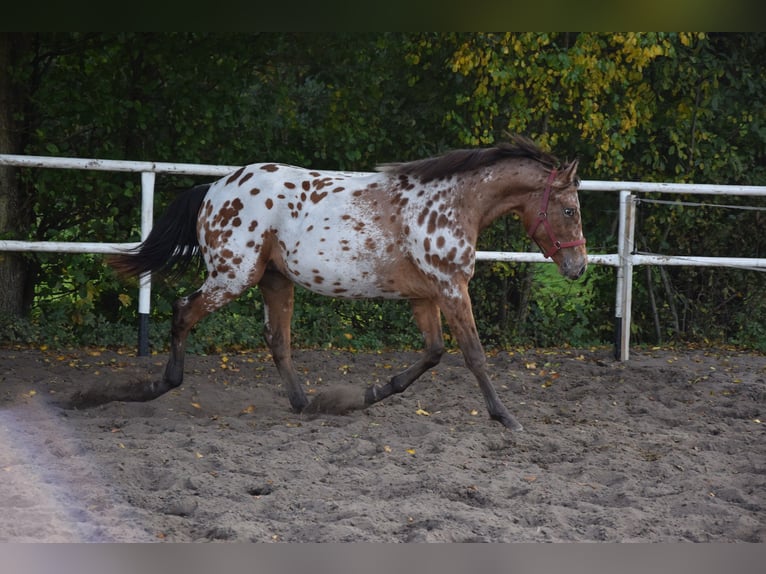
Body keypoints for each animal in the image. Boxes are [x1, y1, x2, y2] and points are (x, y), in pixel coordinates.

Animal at [106, 135, 587, 430]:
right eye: (569, 210)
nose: (578, 267)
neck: (452, 203)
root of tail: (213, 189)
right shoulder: (452, 288)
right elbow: (474, 355)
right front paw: (505, 417)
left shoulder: (425, 296)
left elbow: (433, 352)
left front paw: (374, 392)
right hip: (233, 275)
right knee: (183, 311)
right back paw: (160, 385)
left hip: (274, 280)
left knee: (277, 341)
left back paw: (308, 405)